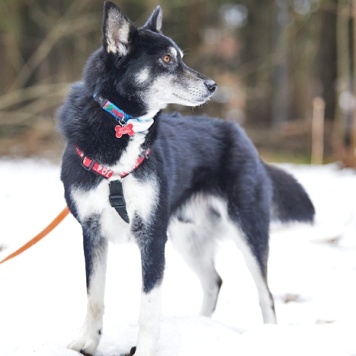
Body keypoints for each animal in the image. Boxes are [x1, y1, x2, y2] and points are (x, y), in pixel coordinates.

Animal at [57, 1, 314, 354]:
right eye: (166, 60)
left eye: (179, 56)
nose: (213, 86)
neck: (122, 128)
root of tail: (240, 135)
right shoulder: (92, 232)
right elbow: (94, 297)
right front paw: (86, 342)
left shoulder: (152, 235)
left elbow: (149, 305)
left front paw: (145, 348)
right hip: (186, 236)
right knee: (214, 281)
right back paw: (200, 327)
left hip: (246, 229)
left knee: (266, 294)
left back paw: (269, 338)